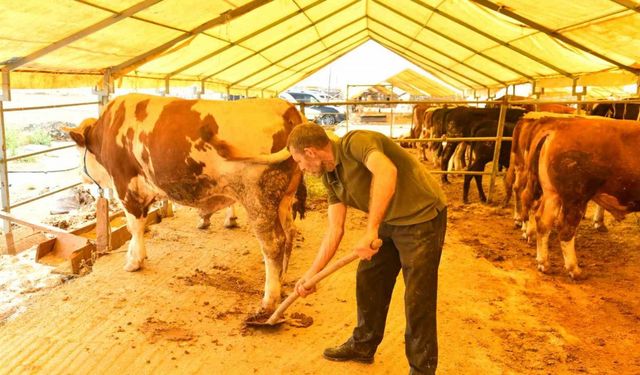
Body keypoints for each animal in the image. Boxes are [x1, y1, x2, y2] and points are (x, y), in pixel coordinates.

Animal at [66, 94, 306, 314]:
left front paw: (134, 261)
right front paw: (139, 255)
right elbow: (140, 226)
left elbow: (134, 226)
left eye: (78, 150)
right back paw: (283, 278)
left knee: (273, 244)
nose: (79, 174)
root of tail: (286, 107)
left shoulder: (126, 185)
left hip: (258, 197)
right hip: (284, 197)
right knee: (289, 232)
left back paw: (269, 300)